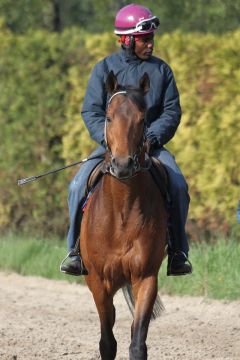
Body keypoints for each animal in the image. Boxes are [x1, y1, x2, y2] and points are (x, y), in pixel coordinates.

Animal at [79, 71, 168, 360]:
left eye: (142, 120)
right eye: (108, 118)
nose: (122, 165)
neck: (122, 212)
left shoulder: (146, 278)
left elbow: (137, 343)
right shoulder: (98, 283)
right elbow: (107, 343)